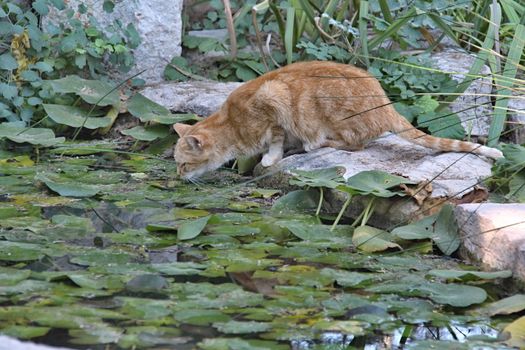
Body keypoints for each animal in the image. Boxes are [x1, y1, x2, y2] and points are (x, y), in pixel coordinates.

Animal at [173, 60, 504, 179]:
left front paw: (269, 157)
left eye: (184, 164)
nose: (178, 176)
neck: (231, 122)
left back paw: (313, 145)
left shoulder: (273, 101)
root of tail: (385, 103)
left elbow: (275, 140)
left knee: (354, 144)